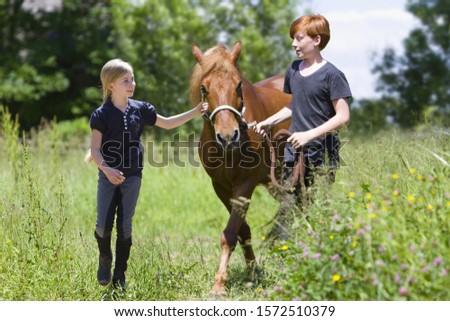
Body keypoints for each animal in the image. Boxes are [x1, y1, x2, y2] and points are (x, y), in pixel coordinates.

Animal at [190, 40, 292, 296]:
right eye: (204, 88)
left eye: (238, 85)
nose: (228, 136)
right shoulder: (221, 187)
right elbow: (241, 230)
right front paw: (252, 271)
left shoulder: (245, 184)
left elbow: (229, 234)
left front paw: (219, 284)